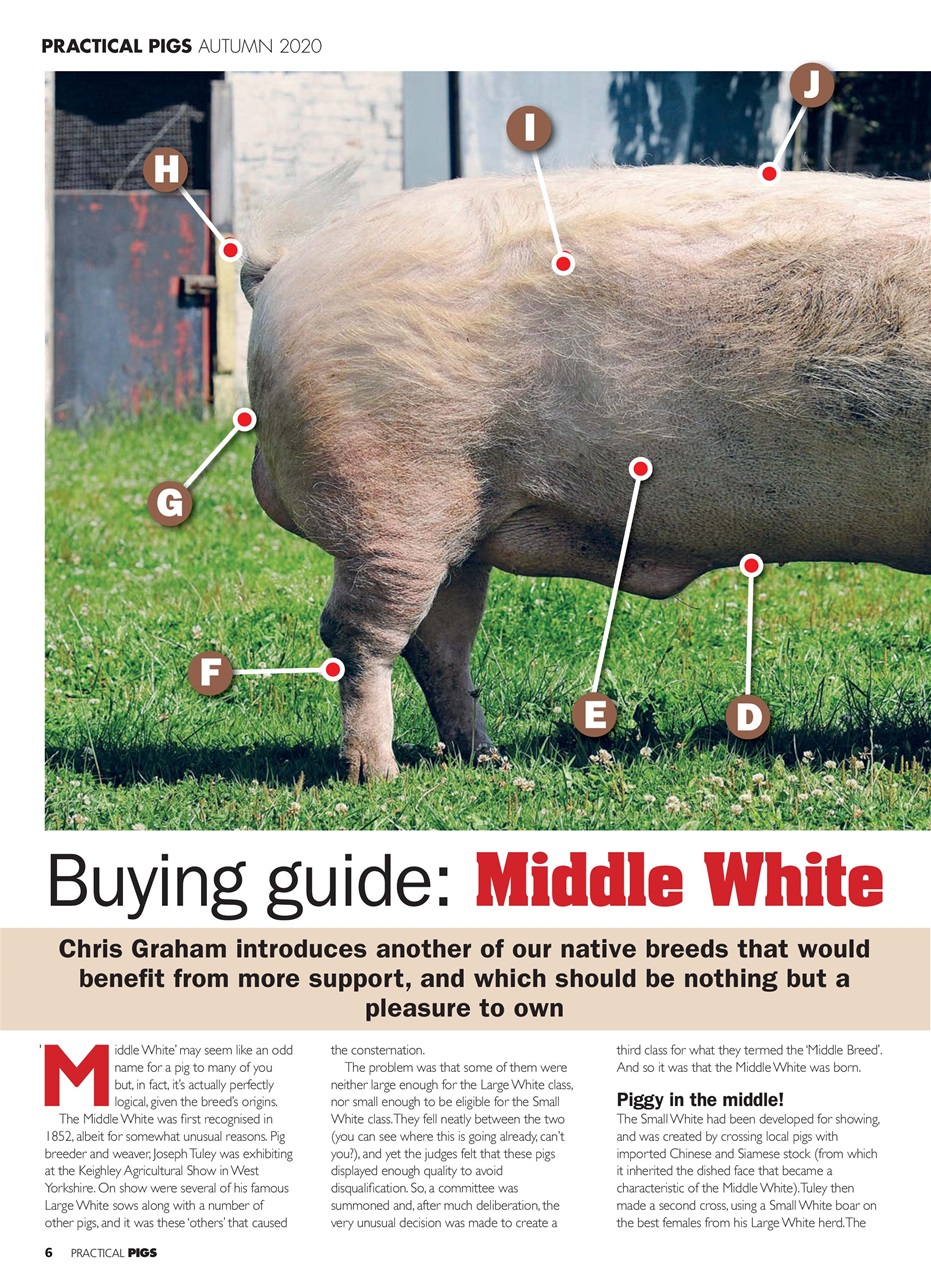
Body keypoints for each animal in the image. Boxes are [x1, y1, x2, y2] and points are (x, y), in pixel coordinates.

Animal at [242, 163, 931, 781]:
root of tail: (286, 265)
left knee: (438, 643)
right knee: (358, 636)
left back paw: (483, 759)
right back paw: (379, 775)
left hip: (459, 524)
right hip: (393, 497)